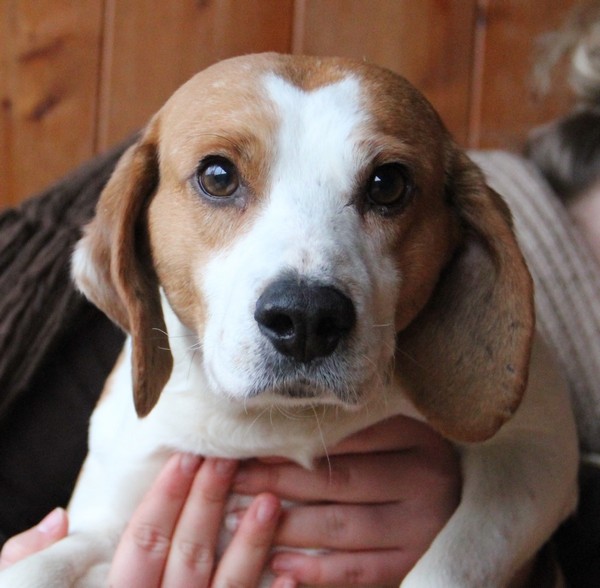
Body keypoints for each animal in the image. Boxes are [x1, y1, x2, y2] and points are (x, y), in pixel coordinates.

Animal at [2, 52, 580, 584]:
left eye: (388, 184)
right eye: (218, 175)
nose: (306, 318)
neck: (283, 423)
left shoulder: (536, 454)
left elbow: (446, 567)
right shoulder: (107, 522)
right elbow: (41, 564)